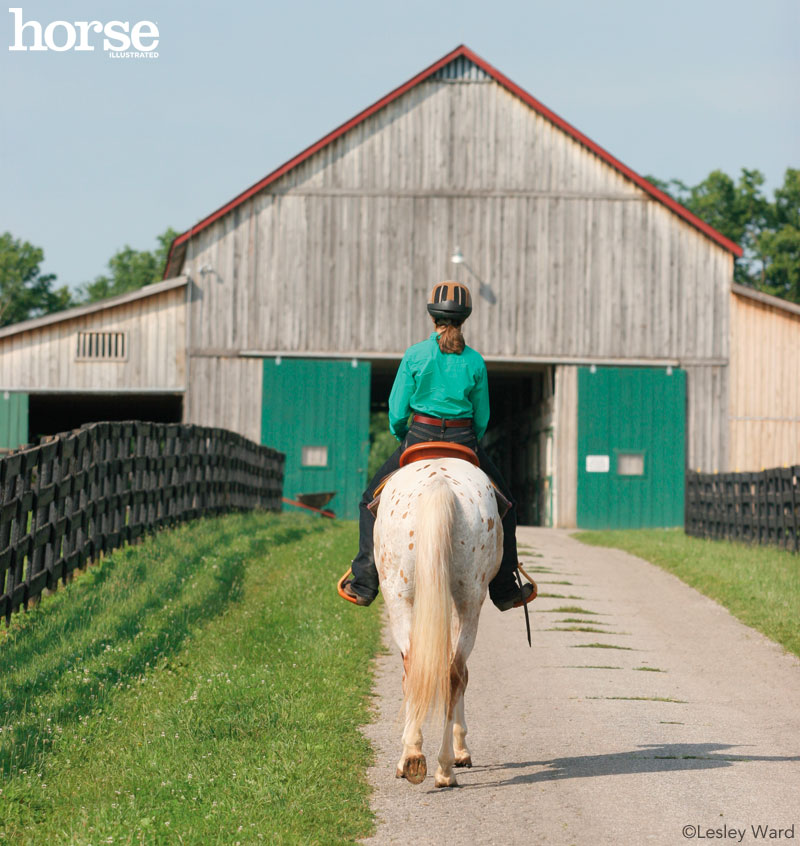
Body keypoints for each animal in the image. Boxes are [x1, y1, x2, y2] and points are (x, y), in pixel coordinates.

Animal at [374, 454, 500, 792]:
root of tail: (438, 485)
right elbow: (460, 675)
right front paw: (460, 751)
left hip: (399, 598)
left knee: (419, 671)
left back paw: (420, 760)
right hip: (468, 599)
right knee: (451, 673)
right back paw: (439, 767)